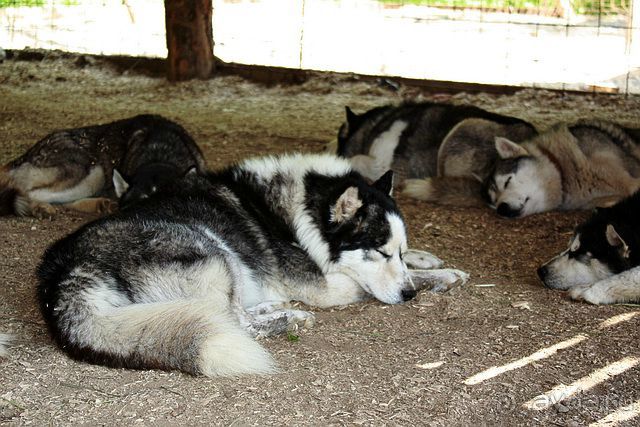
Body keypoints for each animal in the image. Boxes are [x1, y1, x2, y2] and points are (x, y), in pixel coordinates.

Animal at [37, 154, 468, 378]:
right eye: (377, 253)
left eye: (396, 251)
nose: (408, 295)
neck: (304, 207)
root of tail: (65, 273)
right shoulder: (322, 286)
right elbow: (360, 283)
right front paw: (429, 278)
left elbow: (416, 263)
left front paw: (435, 264)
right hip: (213, 252)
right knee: (234, 321)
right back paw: (288, 317)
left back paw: (271, 307)